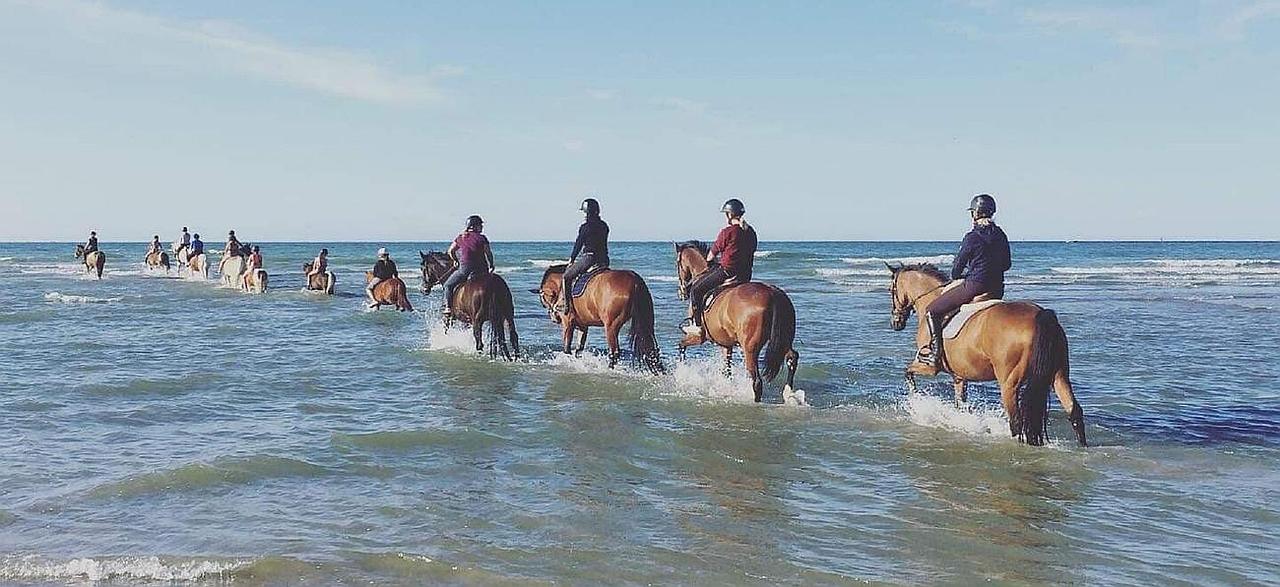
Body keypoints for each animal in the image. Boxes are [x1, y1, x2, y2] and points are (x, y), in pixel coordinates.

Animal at [531, 264, 663, 373]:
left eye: (543, 300)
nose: (554, 318)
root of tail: (634, 279)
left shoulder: (567, 323)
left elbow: (567, 348)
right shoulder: (583, 326)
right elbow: (579, 349)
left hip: (611, 326)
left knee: (614, 352)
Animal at [673, 241, 799, 402]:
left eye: (678, 264)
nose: (682, 292)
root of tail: (772, 294)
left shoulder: (699, 337)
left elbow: (681, 345)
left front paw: (682, 372)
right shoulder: (726, 344)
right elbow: (727, 371)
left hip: (750, 348)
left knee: (757, 381)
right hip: (783, 339)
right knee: (792, 357)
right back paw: (788, 393)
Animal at [887, 262, 1087, 446]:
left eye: (891, 290)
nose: (896, 323)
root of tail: (1040, 314)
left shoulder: (930, 367)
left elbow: (908, 372)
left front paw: (916, 400)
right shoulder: (959, 376)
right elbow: (960, 405)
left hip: (1009, 384)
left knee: (1016, 423)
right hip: (1059, 375)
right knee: (1074, 410)